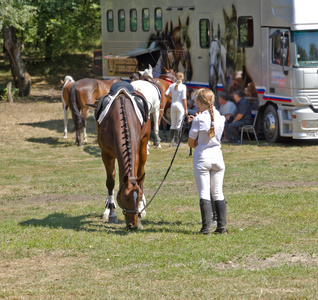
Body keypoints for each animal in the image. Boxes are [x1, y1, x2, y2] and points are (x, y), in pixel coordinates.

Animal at [96, 81, 151, 229]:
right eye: (125, 198)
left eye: (138, 197)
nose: (133, 225)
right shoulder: (106, 154)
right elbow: (110, 182)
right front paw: (111, 214)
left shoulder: (136, 151)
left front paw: (141, 212)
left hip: (143, 146)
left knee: (141, 173)